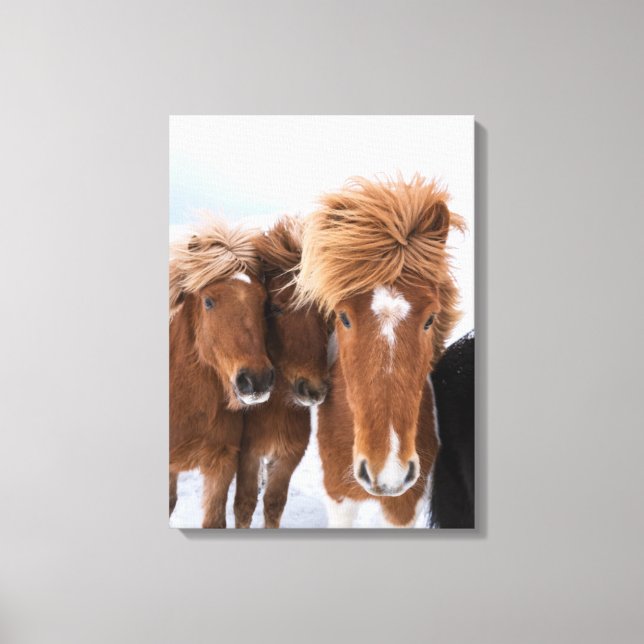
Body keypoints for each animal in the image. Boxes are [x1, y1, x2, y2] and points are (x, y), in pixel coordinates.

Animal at [234, 216, 329, 528]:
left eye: (325, 314)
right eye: (274, 308)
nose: (313, 390)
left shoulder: (289, 456)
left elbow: (274, 504)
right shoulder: (247, 454)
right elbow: (244, 505)